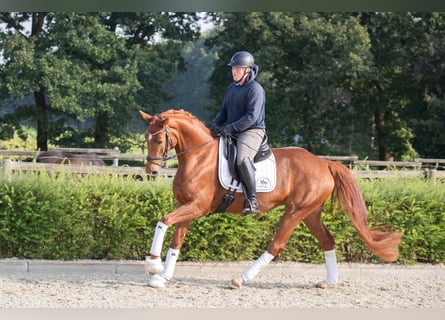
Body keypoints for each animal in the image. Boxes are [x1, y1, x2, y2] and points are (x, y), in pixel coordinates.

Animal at [140, 109, 402, 288]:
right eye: (145, 138)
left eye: (159, 140)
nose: (151, 172)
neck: (198, 156)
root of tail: (323, 163)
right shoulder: (187, 206)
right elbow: (176, 240)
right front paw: (162, 276)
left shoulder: (198, 207)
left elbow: (163, 221)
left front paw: (153, 264)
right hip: (311, 213)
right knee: (327, 240)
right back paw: (328, 282)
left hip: (296, 211)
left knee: (276, 244)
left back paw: (241, 279)